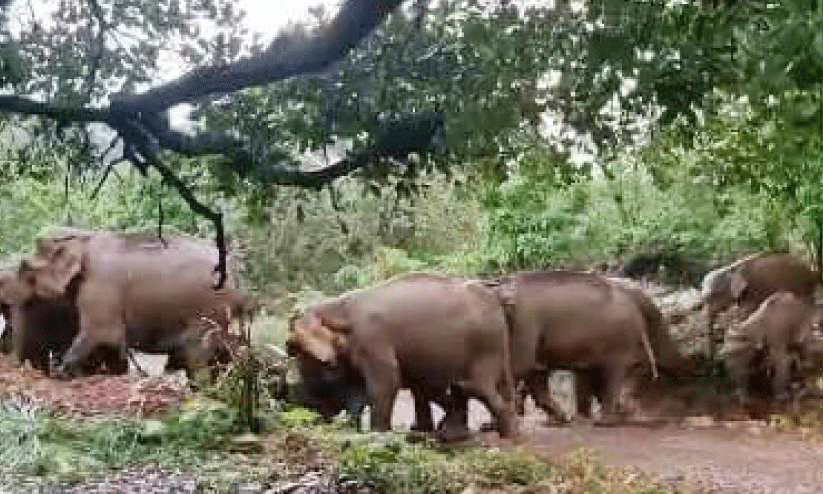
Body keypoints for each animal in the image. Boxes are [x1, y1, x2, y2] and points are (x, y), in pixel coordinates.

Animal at [17, 228, 246, 379]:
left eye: (26, 269)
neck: (83, 238)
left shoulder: (100, 287)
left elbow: (101, 334)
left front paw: (61, 374)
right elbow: (112, 343)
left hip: (206, 312)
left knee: (196, 358)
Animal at [286, 272, 517, 439]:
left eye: (293, 349)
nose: (315, 421)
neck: (338, 306)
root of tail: (495, 300)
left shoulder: (373, 339)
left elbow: (386, 383)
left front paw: (378, 434)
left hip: (485, 346)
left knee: (478, 387)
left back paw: (508, 436)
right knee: (453, 389)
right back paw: (451, 433)